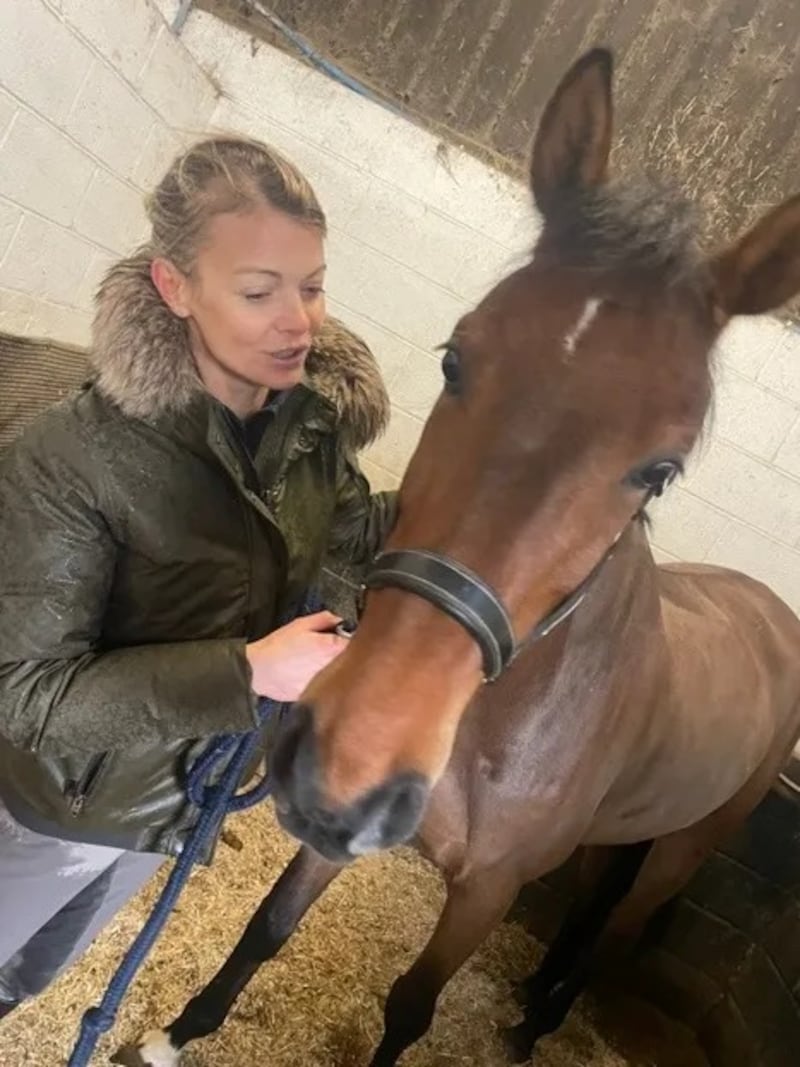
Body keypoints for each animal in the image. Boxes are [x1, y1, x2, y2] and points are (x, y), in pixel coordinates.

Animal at [124, 47, 800, 1067]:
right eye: (455, 357)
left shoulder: (488, 888)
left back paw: (536, 1023)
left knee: (614, 934)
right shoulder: (336, 829)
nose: (356, 754)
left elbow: (411, 1005)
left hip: (681, 849)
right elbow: (269, 927)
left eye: (662, 470)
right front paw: (176, 1033)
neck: (497, 716)